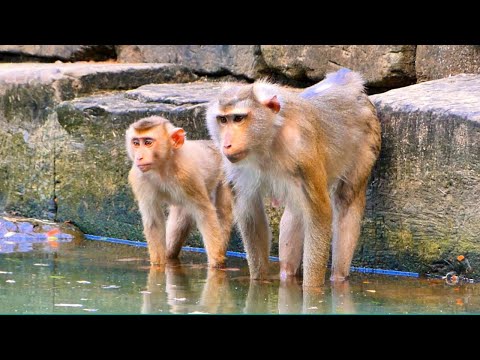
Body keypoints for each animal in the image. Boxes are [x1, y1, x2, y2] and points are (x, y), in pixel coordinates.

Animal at [125, 115, 232, 268]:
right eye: (136, 143)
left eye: (148, 142)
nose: (139, 157)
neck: (162, 167)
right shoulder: (138, 177)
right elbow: (154, 221)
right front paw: (157, 266)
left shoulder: (188, 175)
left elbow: (205, 213)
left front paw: (216, 264)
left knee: (222, 212)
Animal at [206, 67, 382, 286]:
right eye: (223, 120)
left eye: (238, 118)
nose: (227, 144)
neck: (267, 140)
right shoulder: (236, 168)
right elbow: (251, 216)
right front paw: (258, 281)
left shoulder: (302, 149)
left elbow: (320, 214)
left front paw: (312, 288)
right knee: (295, 211)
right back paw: (287, 274)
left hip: (367, 141)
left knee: (346, 202)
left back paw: (338, 278)